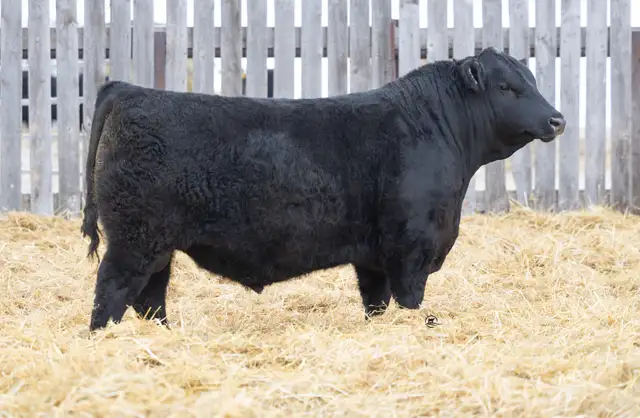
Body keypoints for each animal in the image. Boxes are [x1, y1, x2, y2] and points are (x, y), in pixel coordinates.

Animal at [81, 46, 566, 332]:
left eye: (532, 81)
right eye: (506, 87)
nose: (557, 119)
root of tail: (130, 90)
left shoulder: (373, 256)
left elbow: (376, 302)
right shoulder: (411, 248)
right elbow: (410, 300)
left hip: (157, 246)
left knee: (150, 298)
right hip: (134, 240)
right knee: (112, 291)